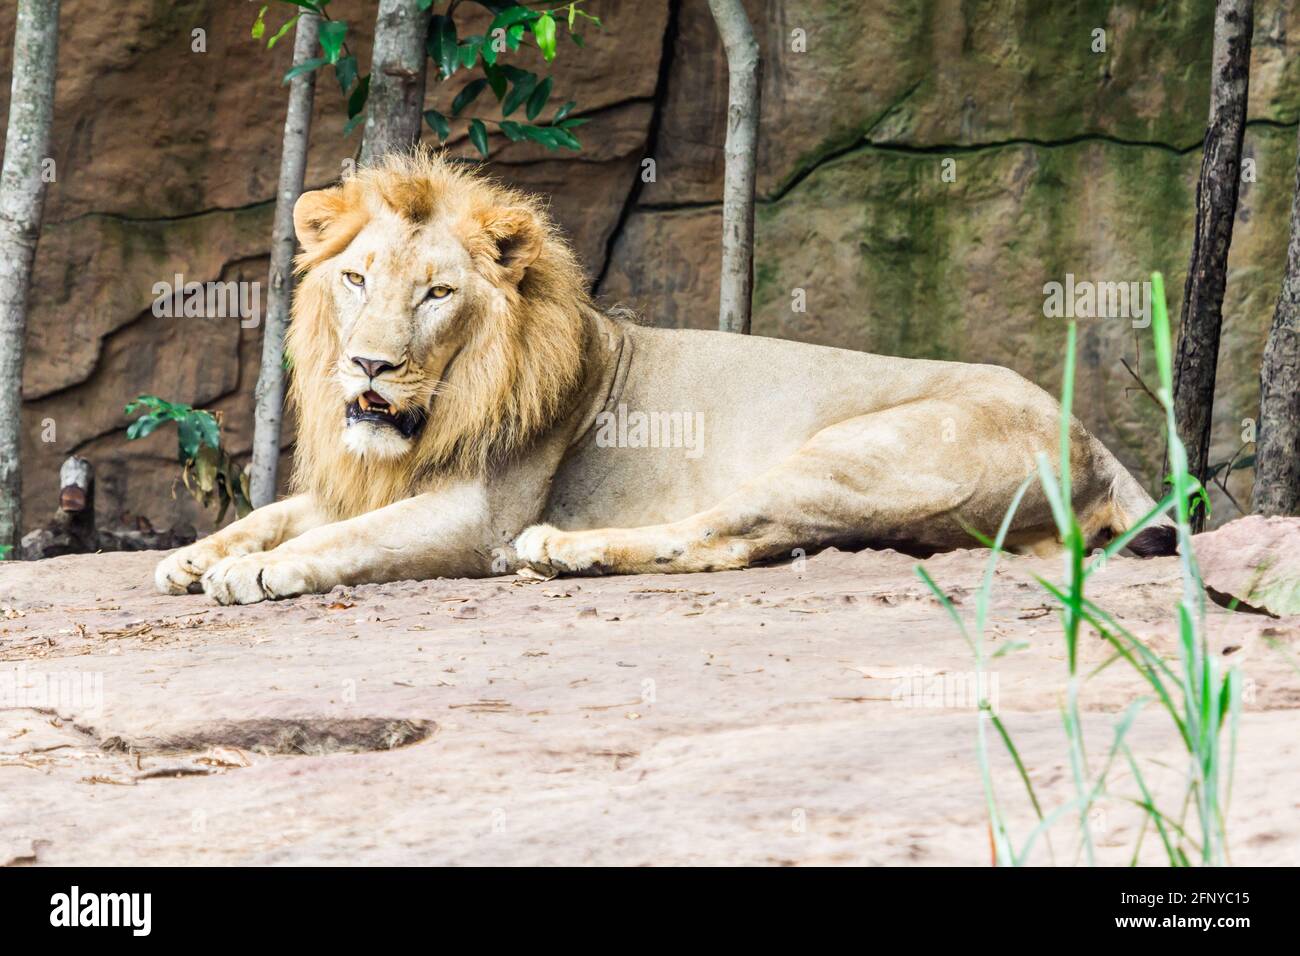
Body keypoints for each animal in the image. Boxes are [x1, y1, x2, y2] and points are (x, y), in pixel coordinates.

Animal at [155, 150, 1173, 605]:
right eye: (357, 279)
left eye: (437, 293)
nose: (369, 363)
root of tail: (1095, 442)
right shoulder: (368, 476)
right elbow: (276, 510)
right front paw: (197, 555)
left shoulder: (478, 513)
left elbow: (347, 540)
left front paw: (255, 572)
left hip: (853, 454)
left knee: (726, 533)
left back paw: (565, 552)